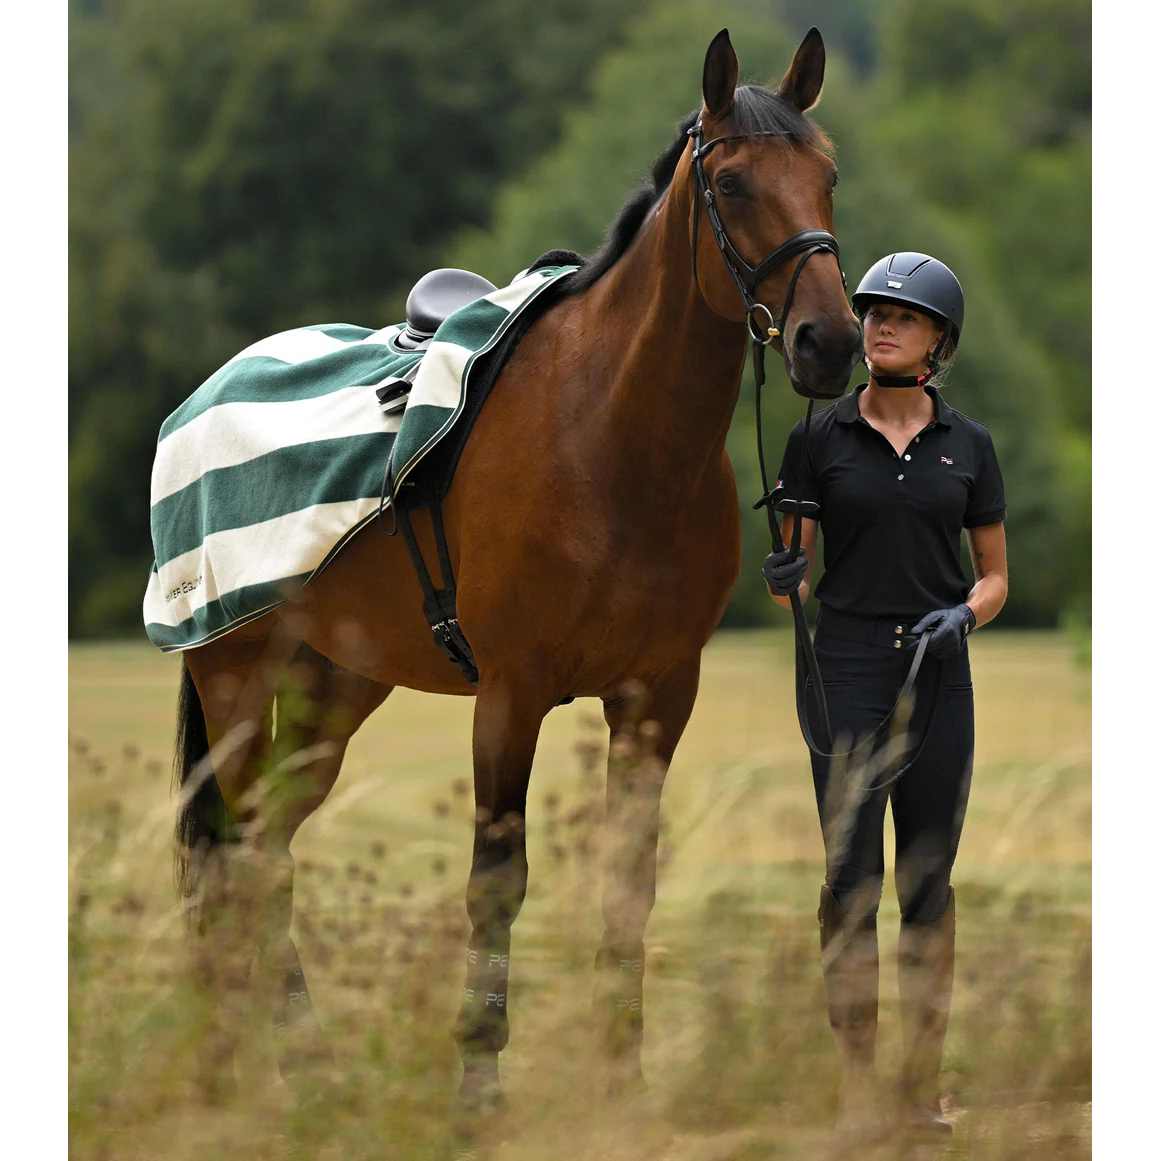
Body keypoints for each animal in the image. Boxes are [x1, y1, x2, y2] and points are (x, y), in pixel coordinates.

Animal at [166, 26, 862, 1111]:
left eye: (827, 176)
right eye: (734, 181)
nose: (828, 343)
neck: (612, 436)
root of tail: (207, 393)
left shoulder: (657, 695)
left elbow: (629, 879)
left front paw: (620, 1074)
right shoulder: (511, 694)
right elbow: (497, 878)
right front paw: (478, 1080)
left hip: (335, 687)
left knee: (266, 844)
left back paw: (292, 1055)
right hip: (234, 674)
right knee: (239, 849)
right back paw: (254, 1062)